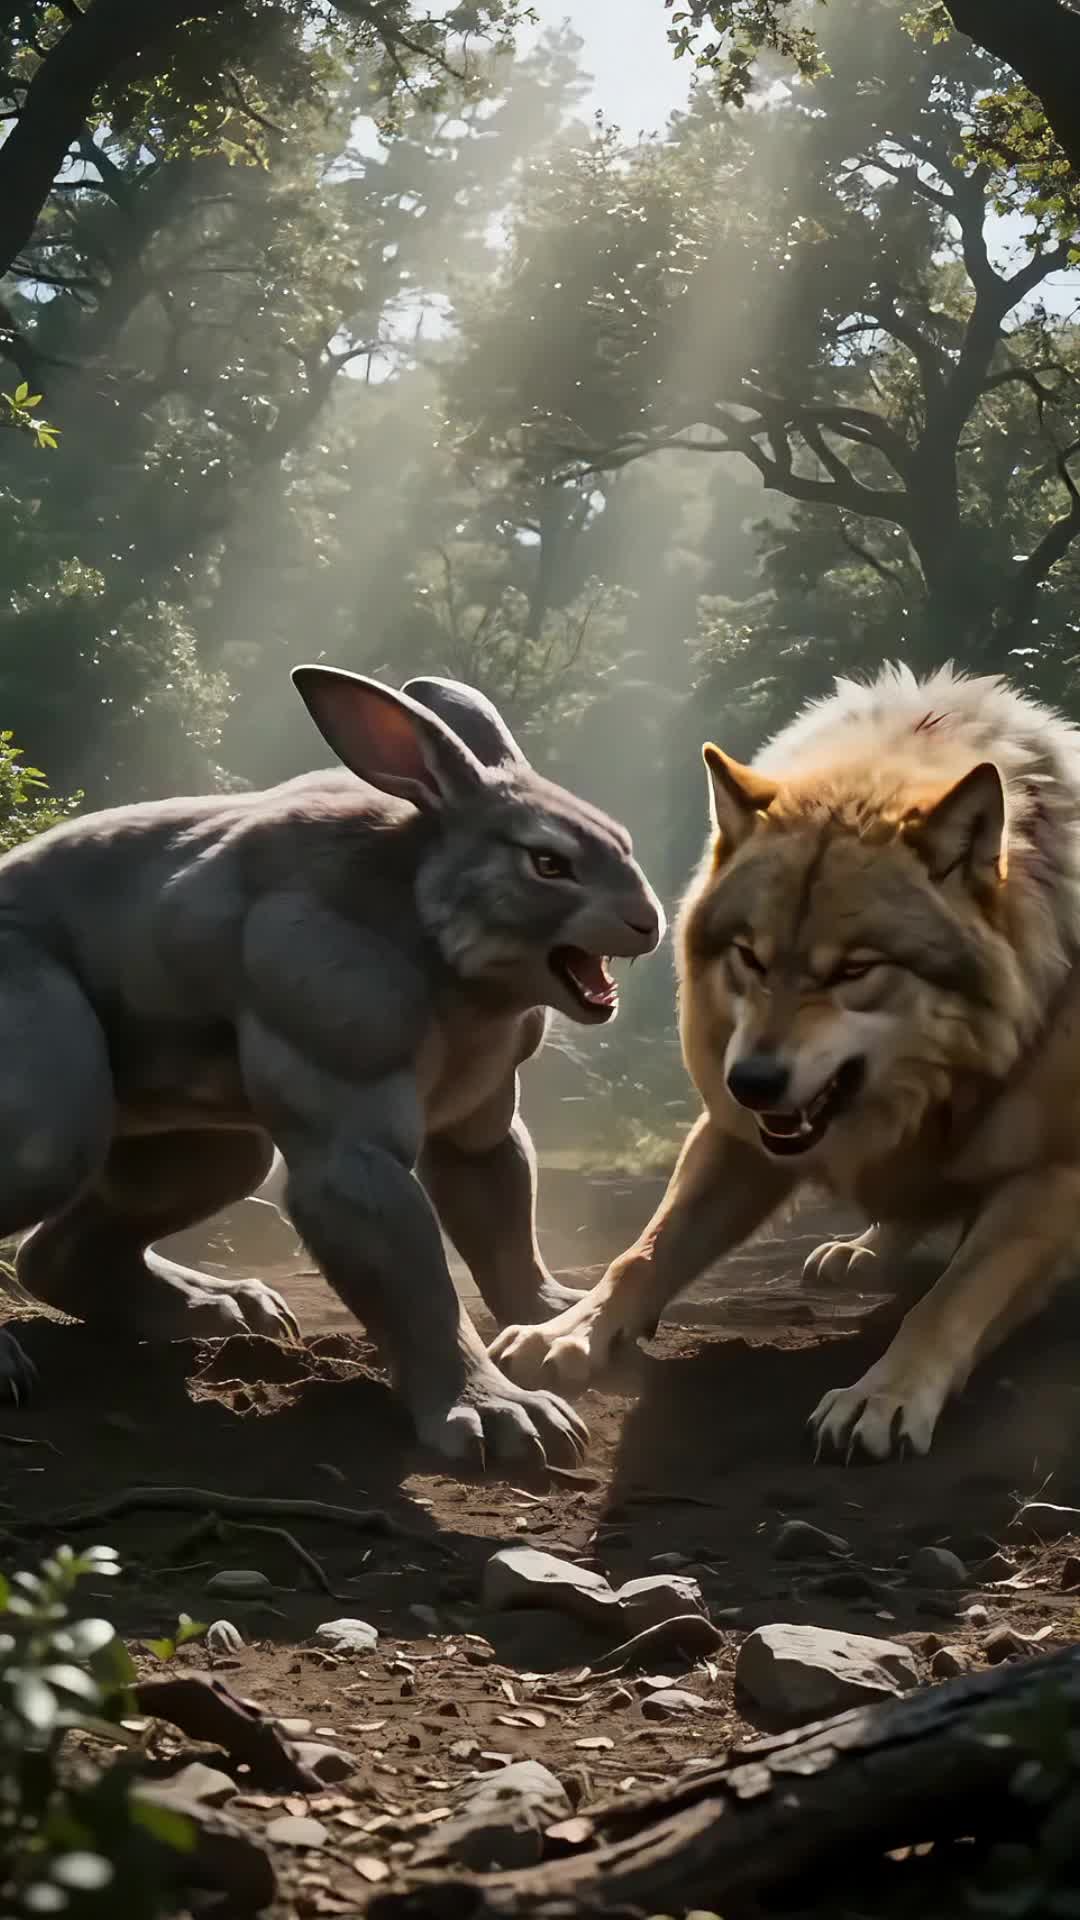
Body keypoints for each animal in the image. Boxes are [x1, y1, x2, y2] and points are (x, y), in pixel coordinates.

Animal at [0, 667, 664, 1470]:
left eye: (622, 841)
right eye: (548, 863)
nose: (649, 921)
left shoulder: (477, 1116)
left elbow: (502, 1218)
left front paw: (555, 1319)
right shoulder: (347, 1099)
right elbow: (415, 1280)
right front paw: (502, 1416)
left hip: (201, 1131)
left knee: (73, 1242)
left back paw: (224, 1309)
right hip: (51, 1092)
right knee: (49, 1145)